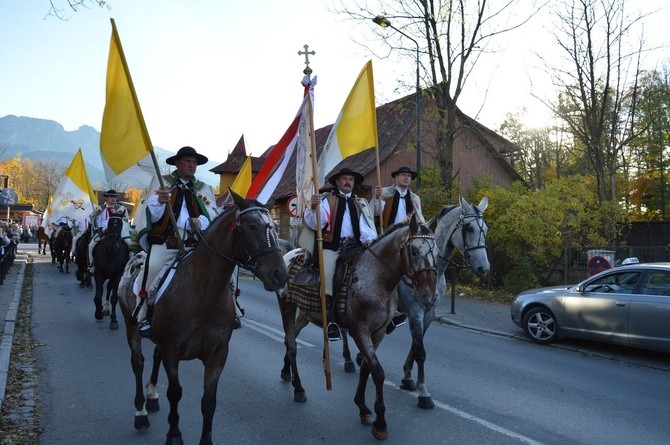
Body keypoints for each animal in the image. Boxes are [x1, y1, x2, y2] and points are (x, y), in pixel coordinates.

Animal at [117, 191, 288, 444]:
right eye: (251, 226)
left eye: (275, 227)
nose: (280, 275)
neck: (203, 294)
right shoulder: (172, 351)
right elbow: (175, 393)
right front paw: (174, 434)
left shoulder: (217, 354)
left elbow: (209, 401)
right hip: (132, 327)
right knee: (137, 363)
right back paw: (141, 413)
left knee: (154, 356)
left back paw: (152, 395)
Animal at [278, 213, 440, 438]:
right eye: (415, 252)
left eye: (437, 253)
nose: (430, 296)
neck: (377, 279)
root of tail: (290, 253)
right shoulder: (359, 330)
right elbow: (378, 372)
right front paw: (380, 423)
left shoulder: (378, 332)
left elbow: (366, 368)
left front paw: (363, 408)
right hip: (286, 304)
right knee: (292, 344)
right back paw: (299, 388)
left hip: (306, 314)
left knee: (289, 338)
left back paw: (287, 373)